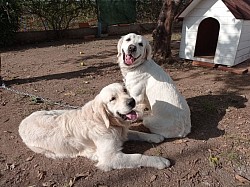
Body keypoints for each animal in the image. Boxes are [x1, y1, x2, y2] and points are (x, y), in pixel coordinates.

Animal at [19, 82, 170, 170]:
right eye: (112, 99)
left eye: (125, 90)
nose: (131, 101)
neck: (106, 122)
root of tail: (23, 122)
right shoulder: (110, 157)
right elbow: (138, 156)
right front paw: (159, 160)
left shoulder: (121, 132)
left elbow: (137, 133)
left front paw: (154, 136)